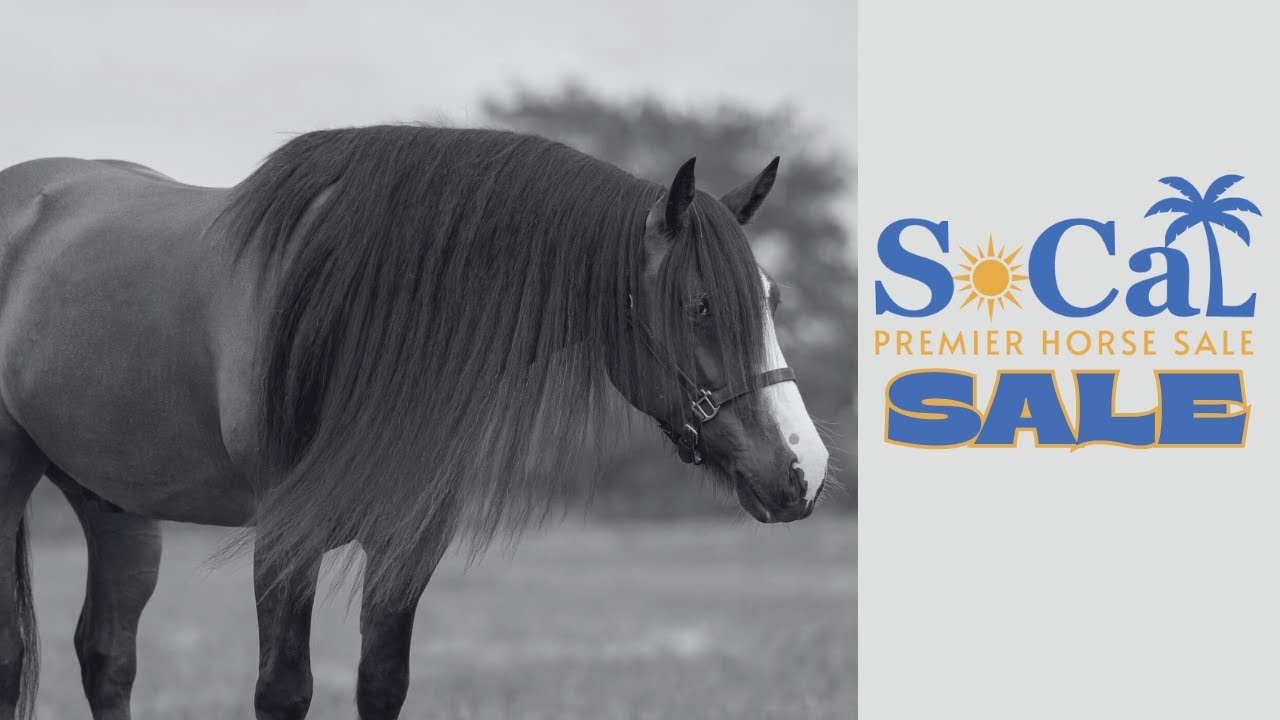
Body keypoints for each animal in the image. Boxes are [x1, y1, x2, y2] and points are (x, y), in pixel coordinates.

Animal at [0, 124, 829, 719]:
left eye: (773, 298)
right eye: (700, 305)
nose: (802, 470)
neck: (361, 313)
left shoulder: (410, 539)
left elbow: (382, 685)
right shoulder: (285, 539)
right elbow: (284, 691)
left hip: (115, 505)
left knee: (108, 656)